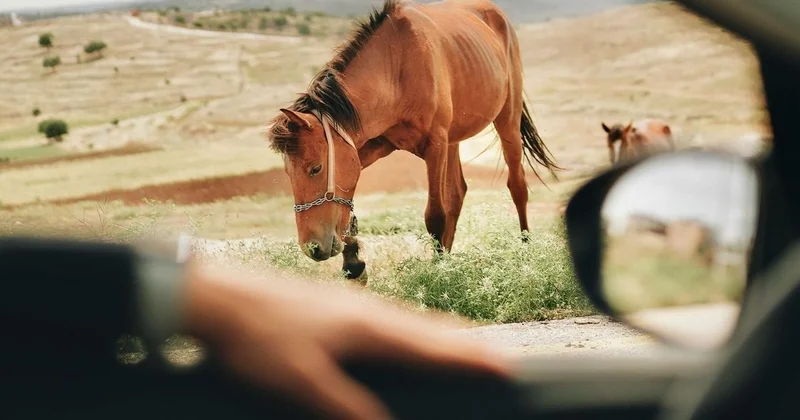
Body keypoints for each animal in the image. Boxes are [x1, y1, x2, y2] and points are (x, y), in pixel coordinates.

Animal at [266, 0, 560, 281]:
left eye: (315, 168)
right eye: (287, 173)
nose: (313, 248)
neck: (398, 68)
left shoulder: (435, 144)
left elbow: (435, 215)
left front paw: (438, 273)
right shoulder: (373, 146)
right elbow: (347, 202)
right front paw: (353, 262)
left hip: (506, 121)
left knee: (517, 187)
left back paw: (524, 252)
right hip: (454, 141)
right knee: (458, 193)